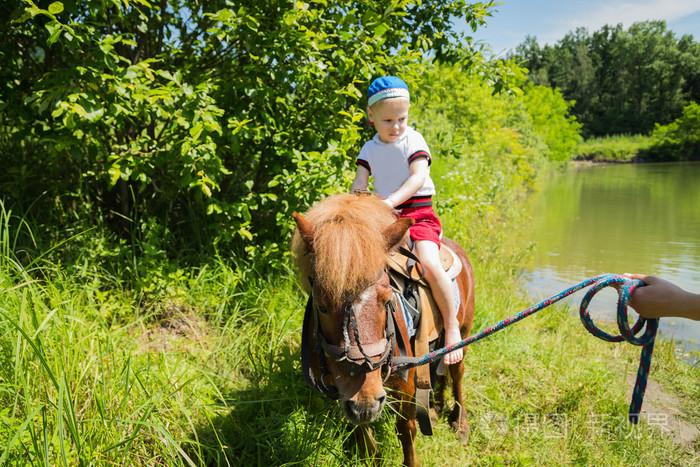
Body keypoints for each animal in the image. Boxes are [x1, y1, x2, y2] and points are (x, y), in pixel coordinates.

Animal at [290, 193, 476, 464]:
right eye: (322, 306)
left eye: (387, 298)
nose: (366, 402)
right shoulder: (344, 392)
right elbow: (361, 432)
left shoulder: (407, 384)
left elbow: (406, 429)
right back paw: (435, 407)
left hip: (463, 331)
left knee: (457, 372)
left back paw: (460, 424)